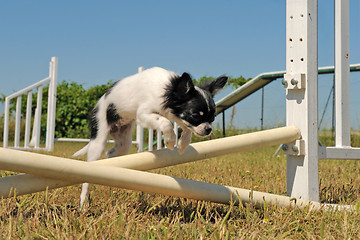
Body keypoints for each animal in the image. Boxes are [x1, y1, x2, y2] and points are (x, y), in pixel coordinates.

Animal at [73, 66, 228, 207]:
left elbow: (186, 128)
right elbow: (166, 122)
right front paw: (170, 141)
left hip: (124, 143)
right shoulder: (143, 115)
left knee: (110, 153)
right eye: (195, 115)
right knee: (88, 174)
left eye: (212, 118)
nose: (208, 129)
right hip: (99, 139)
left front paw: (183, 144)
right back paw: (84, 202)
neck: (168, 88)